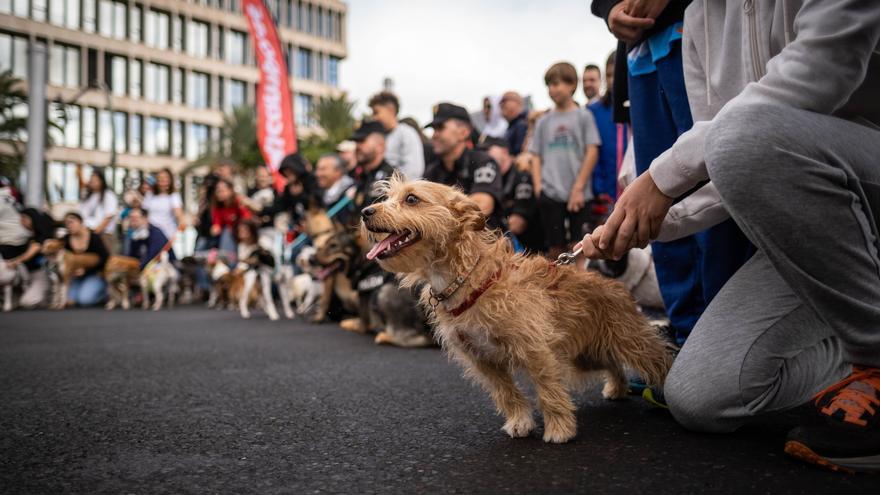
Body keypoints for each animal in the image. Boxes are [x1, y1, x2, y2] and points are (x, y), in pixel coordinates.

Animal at [358, 179, 672, 446]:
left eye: (411, 199)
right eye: (387, 197)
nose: (365, 212)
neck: (467, 280)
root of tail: (615, 285)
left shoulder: (535, 349)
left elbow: (548, 391)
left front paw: (560, 429)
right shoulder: (481, 359)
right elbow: (507, 394)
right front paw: (520, 422)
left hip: (629, 342)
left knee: (659, 359)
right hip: (585, 355)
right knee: (613, 364)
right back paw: (617, 388)